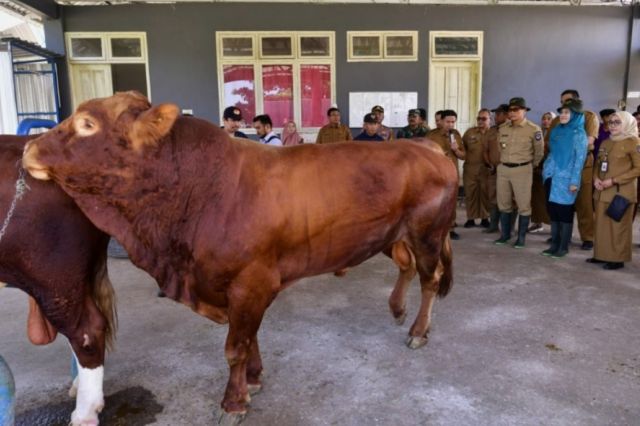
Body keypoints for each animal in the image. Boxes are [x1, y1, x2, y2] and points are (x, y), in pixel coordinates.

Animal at [22, 92, 458, 422]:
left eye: (87, 124)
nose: (28, 147)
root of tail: (423, 144)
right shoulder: (238, 287)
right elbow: (248, 338)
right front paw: (254, 378)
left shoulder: (251, 282)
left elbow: (235, 345)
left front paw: (233, 401)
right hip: (392, 235)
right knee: (406, 267)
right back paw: (397, 308)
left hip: (427, 234)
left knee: (430, 278)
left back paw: (418, 331)